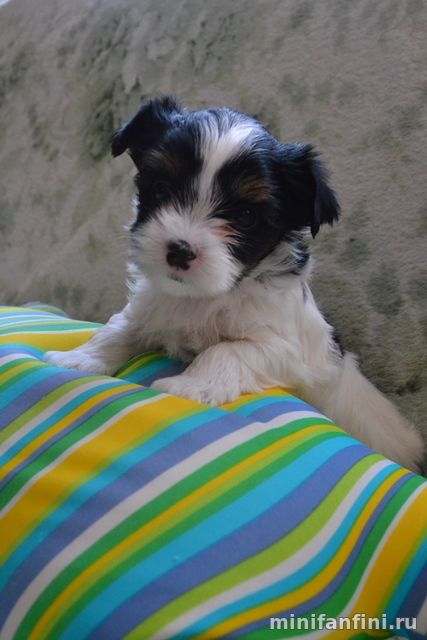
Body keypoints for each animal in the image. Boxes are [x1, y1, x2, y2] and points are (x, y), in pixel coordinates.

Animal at [45, 96, 425, 473]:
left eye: (245, 217)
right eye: (161, 189)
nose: (179, 250)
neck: (206, 295)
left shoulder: (283, 348)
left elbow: (226, 350)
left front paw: (190, 385)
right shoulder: (150, 306)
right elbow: (118, 327)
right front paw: (80, 358)